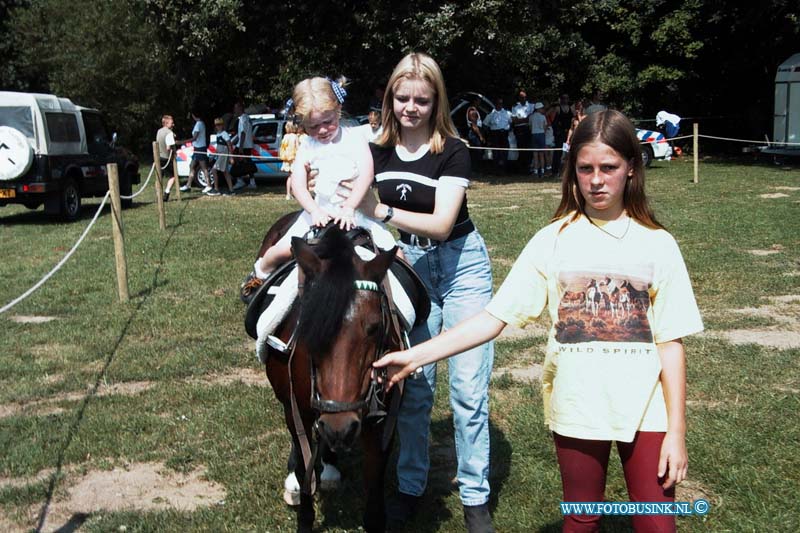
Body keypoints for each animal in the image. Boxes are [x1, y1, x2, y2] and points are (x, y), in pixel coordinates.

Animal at [260, 213, 404, 532]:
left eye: (375, 327)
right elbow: (304, 462)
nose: (341, 426)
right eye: (307, 325)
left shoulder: (382, 420)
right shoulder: (296, 408)